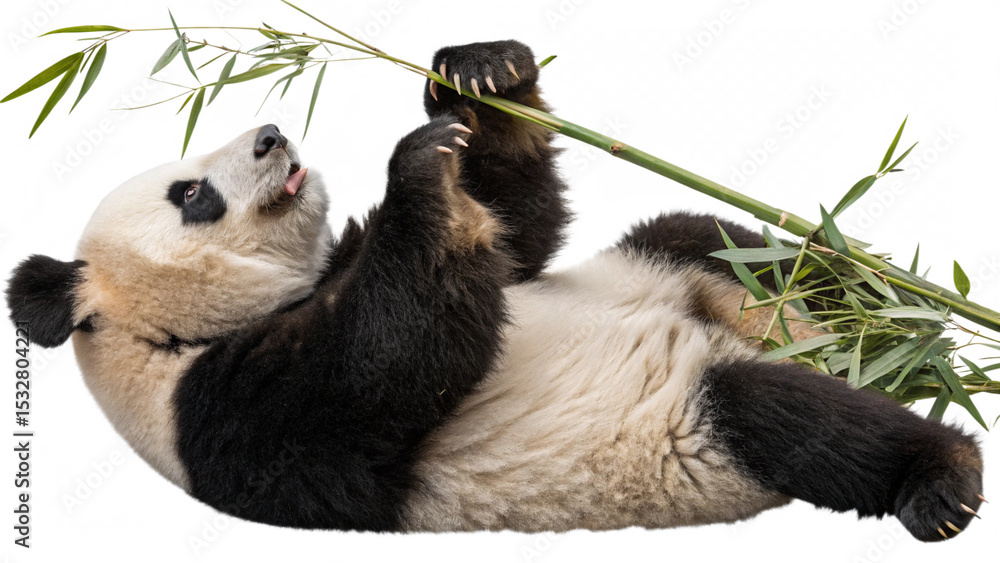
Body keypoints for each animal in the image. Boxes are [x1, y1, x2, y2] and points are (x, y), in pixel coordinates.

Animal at [5, 40, 985, 541]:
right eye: (191, 195)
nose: (274, 135)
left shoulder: (345, 269)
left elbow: (514, 238)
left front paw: (477, 78)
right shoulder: (233, 415)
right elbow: (399, 355)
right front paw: (417, 164)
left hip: (683, 265)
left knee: (731, 243)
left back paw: (899, 308)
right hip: (695, 430)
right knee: (788, 419)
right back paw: (938, 471)